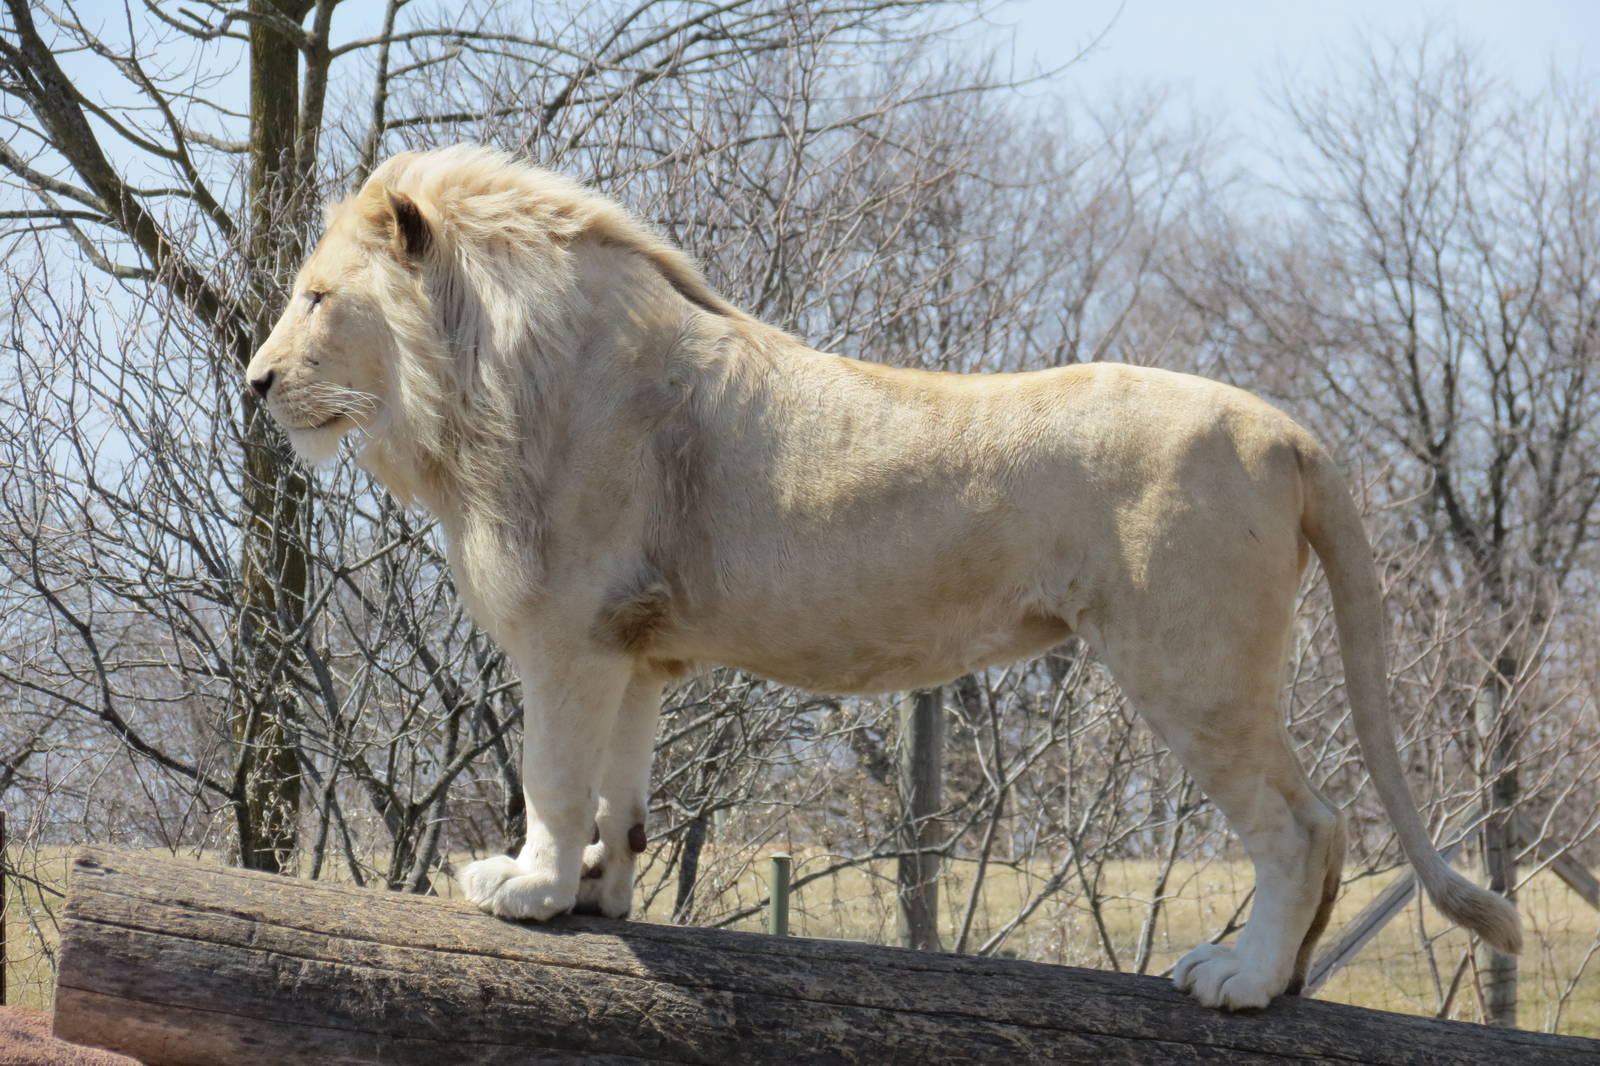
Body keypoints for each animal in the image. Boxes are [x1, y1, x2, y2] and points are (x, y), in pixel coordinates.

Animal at [245, 145, 1520, 1010]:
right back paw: (1283, 980)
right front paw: (601, 893)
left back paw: (1241, 980)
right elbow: (622, 791)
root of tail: (1287, 429)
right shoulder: (634, 646)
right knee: (1326, 828)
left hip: (1188, 660)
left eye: (315, 297)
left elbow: (553, 777)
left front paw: (530, 890)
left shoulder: (567, 630)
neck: (473, 381)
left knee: (1305, 823)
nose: (254, 383)